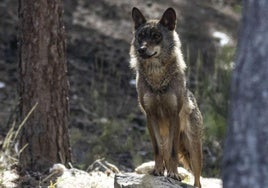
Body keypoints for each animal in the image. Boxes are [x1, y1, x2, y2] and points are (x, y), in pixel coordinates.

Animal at [129, 6, 202, 187]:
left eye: (156, 36)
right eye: (141, 36)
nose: (141, 49)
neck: (157, 79)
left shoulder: (174, 115)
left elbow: (173, 153)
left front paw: (174, 174)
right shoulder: (150, 116)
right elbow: (157, 150)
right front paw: (157, 171)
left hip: (194, 150)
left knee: (197, 178)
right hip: (165, 137)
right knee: (164, 152)